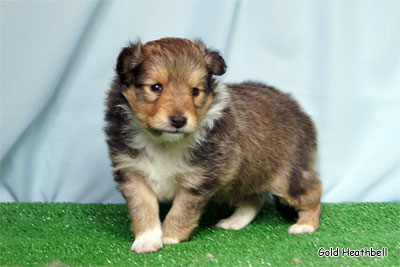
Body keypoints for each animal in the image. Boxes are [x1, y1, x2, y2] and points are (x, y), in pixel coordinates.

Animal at [104, 37, 322, 253]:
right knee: (254, 200)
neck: (164, 143)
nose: (178, 121)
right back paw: (234, 222)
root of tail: (299, 110)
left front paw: (169, 237)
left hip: (289, 176)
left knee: (313, 193)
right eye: (156, 87)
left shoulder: (197, 180)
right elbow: (143, 209)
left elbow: (180, 211)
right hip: (244, 177)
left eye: (195, 91)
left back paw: (305, 225)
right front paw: (147, 240)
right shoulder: (133, 174)